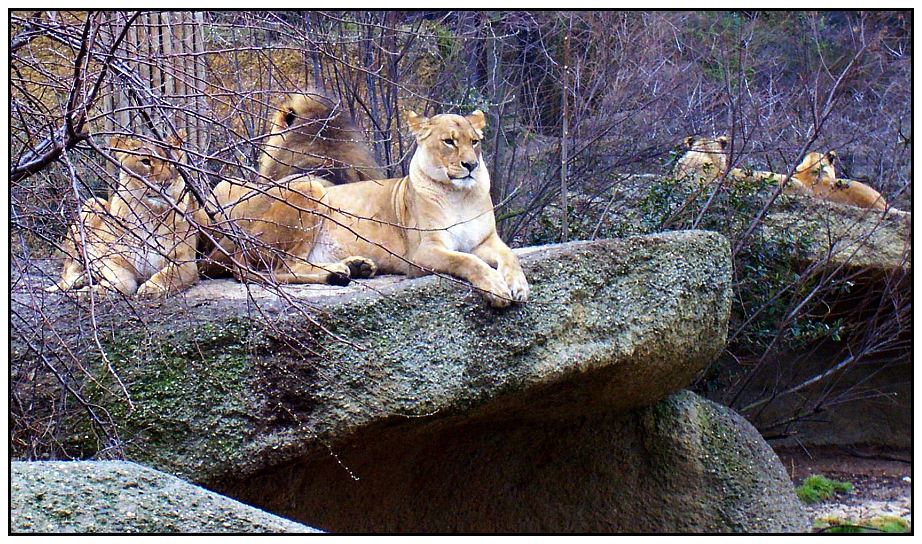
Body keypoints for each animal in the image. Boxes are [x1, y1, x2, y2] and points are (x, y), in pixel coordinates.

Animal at [204, 109, 528, 310]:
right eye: (449, 141)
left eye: (475, 142)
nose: (471, 165)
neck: (458, 196)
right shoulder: (422, 253)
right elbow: (467, 261)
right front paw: (496, 289)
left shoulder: (486, 241)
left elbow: (509, 256)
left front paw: (519, 286)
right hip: (311, 187)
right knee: (266, 270)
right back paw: (338, 273)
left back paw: (356, 267)